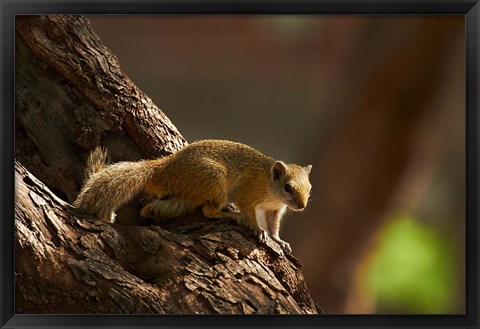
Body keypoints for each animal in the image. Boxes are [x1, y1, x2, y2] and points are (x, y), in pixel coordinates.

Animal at [71, 139, 312, 251]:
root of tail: (164, 169)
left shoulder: (275, 210)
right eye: (288, 187)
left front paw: (278, 240)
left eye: (310, 188)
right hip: (214, 181)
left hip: (188, 194)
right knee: (208, 211)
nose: (301, 206)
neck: (271, 188)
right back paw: (231, 216)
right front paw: (256, 228)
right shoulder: (248, 193)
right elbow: (251, 214)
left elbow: (274, 225)